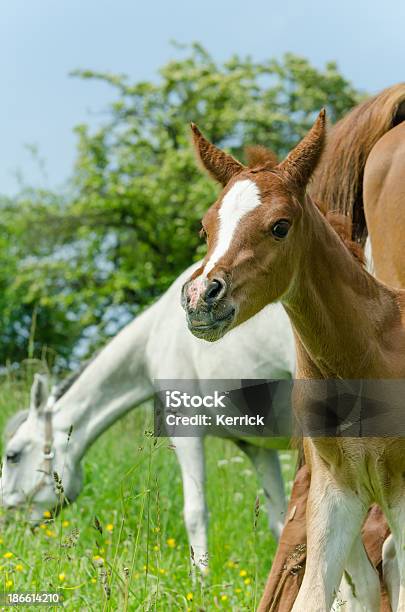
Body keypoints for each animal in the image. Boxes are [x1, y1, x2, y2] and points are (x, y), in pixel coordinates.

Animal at [1, 262, 296, 568]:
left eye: (12, 456)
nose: (6, 522)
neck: (158, 332)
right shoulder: (257, 446)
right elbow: (281, 522)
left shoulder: (186, 429)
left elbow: (195, 514)